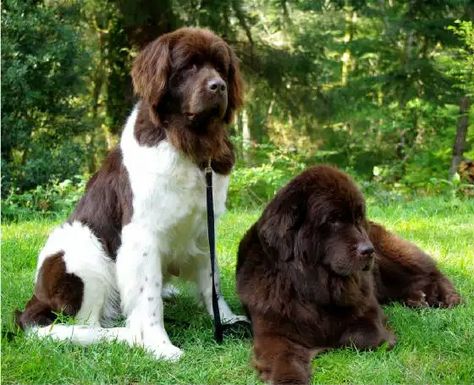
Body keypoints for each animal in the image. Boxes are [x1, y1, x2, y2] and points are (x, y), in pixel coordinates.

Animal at [14, 27, 244, 360]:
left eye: (221, 67)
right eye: (189, 66)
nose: (219, 86)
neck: (188, 142)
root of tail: (33, 303)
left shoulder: (205, 227)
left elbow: (212, 284)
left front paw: (227, 321)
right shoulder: (141, 235)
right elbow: (148, 298)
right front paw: (159, 344)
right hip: (81, 249)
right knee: (86, 325)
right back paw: (126, 335)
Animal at [236, 165, 460, 384]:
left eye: (357, 218)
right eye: (334, 220)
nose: (368, 250)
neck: (312, 286)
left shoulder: (368, 311)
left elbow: (363, 337)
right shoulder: (272, 332)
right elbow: (282, 359)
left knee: (430, 272)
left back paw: (445, 297)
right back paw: (418, 299)